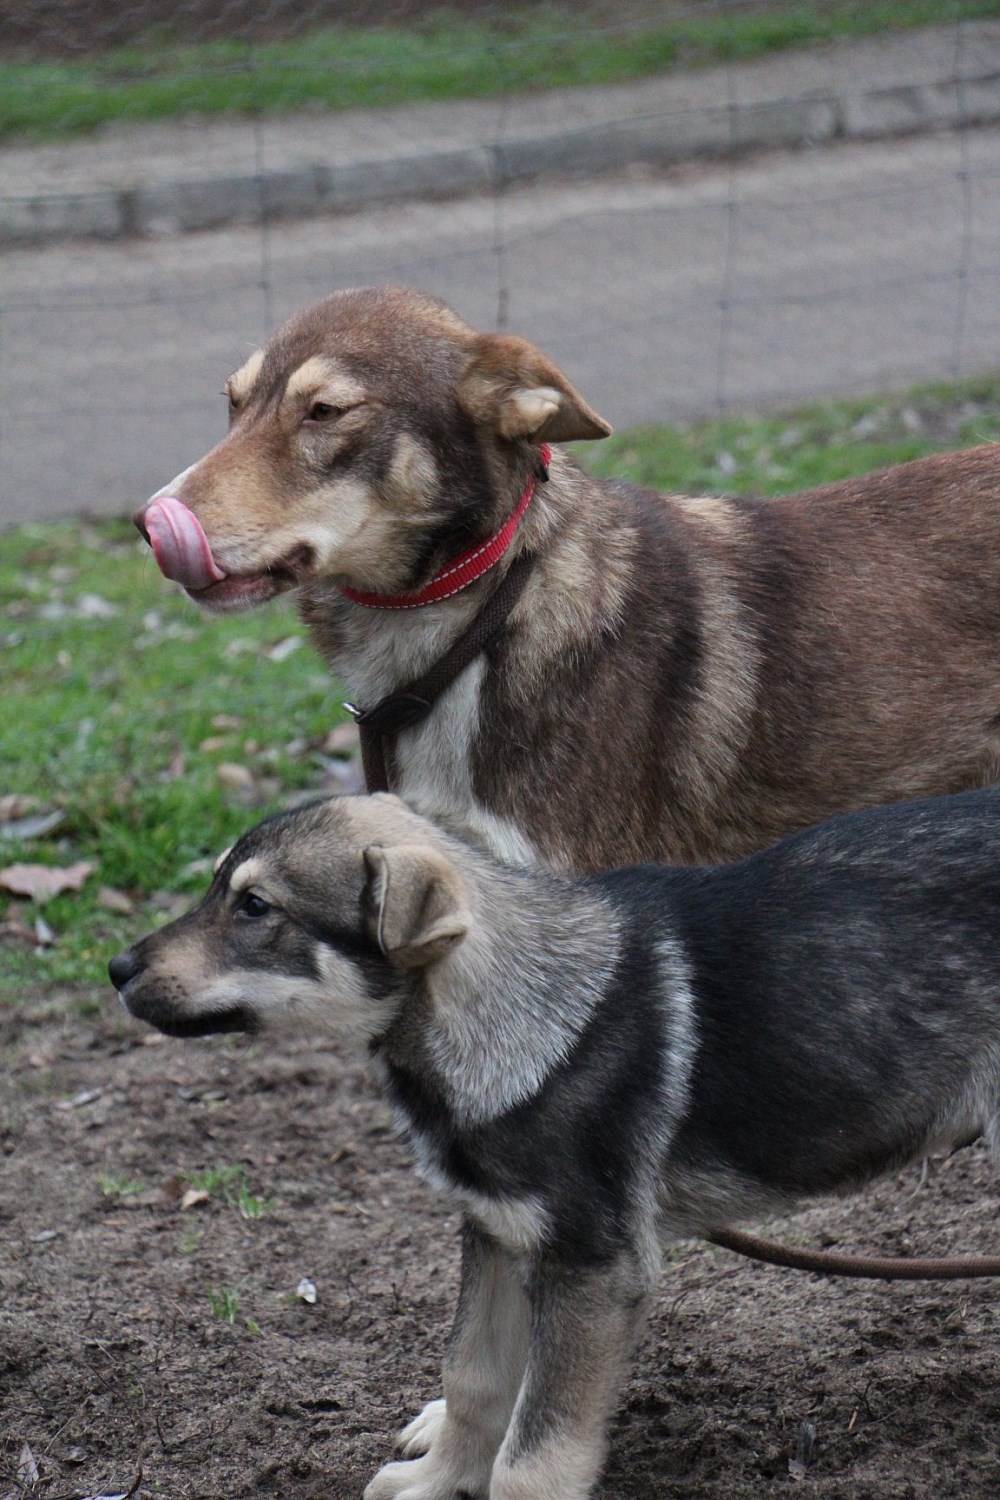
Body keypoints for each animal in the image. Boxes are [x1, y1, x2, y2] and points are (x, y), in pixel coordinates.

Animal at [110, 788, 1000, 1499]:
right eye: (217, 887)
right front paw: (438, 1481)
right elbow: (473, 1380)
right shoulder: (499, 1233)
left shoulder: (591, 1269)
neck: (511, 1011)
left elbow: (534, 1454)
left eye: (256, 908)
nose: (116, 968)